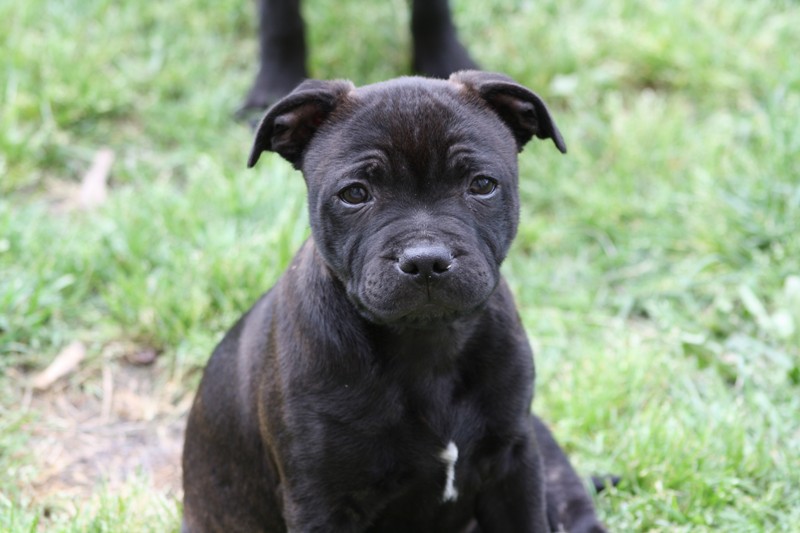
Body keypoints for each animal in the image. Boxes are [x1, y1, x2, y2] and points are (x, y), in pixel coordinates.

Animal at [183, 71, 607, 532]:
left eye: (482, 185)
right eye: (355, 194)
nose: (425, 260)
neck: (427, 347)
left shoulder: (515, 470)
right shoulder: (320, 501)